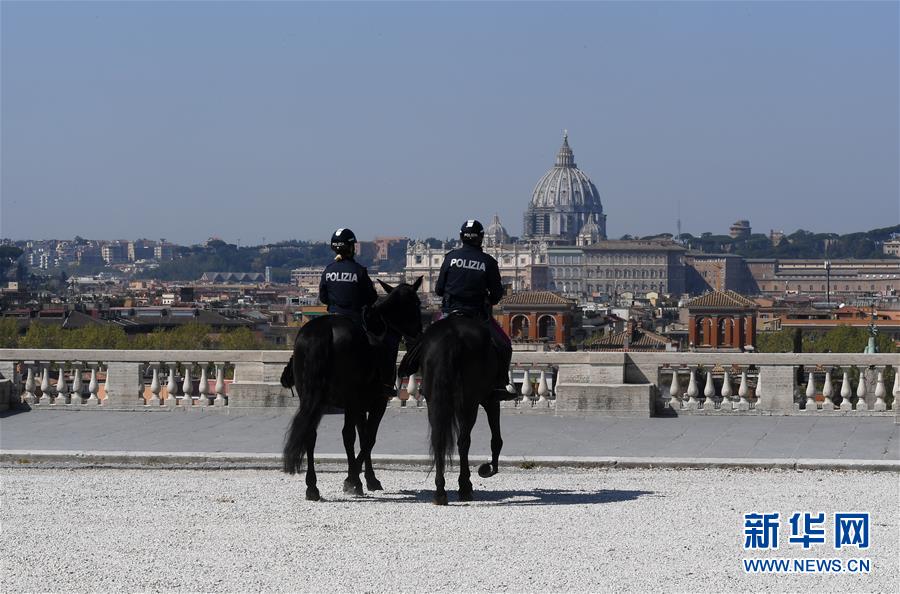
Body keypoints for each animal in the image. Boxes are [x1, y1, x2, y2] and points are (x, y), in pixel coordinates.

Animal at [282, 276, 422, 498]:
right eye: (417, 303)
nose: (419, 333)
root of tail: (324, 331)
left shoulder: (358, 406)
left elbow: (360, 436)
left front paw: (367, 479)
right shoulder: (376, 402)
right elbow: (368, 438)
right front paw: (355, 479)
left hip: (313, 398)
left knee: (310, 433)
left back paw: (312, 487)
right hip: (349, 398)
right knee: (348, 434)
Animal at [400, 314, 502, 504]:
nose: (486, 469)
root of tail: (451, 337)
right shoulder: (490, 399)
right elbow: (496, 436)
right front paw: (490, 468)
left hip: (434, 400)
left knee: (437, 439)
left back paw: (440, 491)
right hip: (469, 402)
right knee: (464, 441)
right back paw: (464, 487)